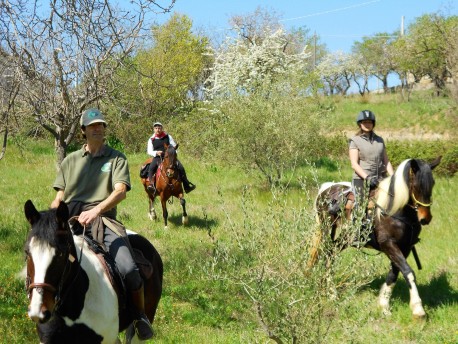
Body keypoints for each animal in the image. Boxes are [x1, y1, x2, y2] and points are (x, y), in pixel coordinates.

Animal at [312, 157, 440, 318]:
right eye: (416, 185)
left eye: (433, 183)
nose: (425, 218)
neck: (394, 210)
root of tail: (326, 188)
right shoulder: (388, 244)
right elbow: (408, 271)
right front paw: (418, 309)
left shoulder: (405, 248)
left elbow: (394, 274)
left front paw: (384, 305)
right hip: (326, 229)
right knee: (326, 254)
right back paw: (332, 293)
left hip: (345, 237)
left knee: (331, 253)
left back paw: (330, 291)